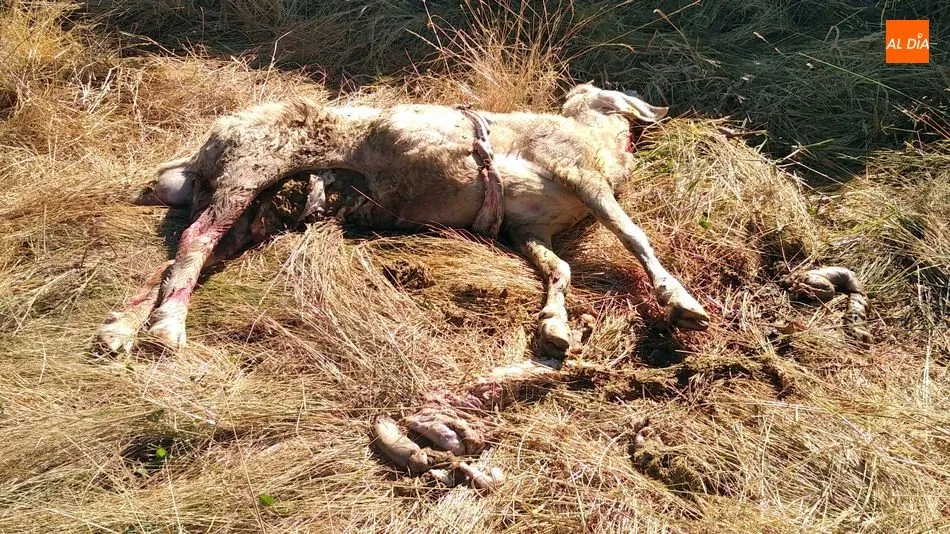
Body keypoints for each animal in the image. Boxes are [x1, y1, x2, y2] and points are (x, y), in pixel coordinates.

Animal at [97, 84, 711, 357]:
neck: (590, 135)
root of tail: (206, 144)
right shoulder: (581, 178)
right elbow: (635, 237)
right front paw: (682, 302)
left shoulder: (528, 229)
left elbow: (558, 269)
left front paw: (555, 326)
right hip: (250, 171)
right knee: (195, 242)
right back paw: (166, 328)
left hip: (253, 214)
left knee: (180, 257)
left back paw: (122, 328)